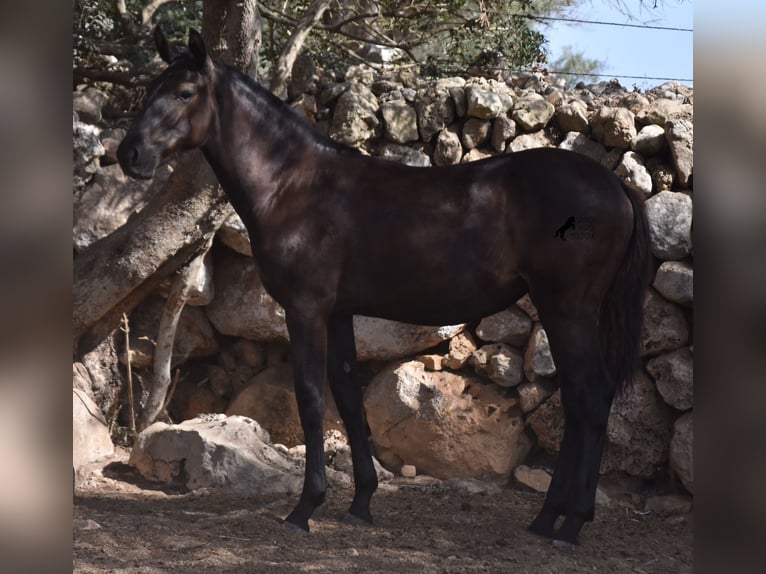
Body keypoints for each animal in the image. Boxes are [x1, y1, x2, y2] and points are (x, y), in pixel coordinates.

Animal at [117, 28, 652, 548]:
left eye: (184, 93)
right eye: (151, 88)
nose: (129, 154)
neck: (294, 184)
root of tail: (616, 187)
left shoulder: (306, 309)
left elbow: (311, 398)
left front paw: (305, 508)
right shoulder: (338, 312)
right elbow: (348, 397)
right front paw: (360, 503)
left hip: (567, 309)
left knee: (590, 395)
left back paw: (571, 523)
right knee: (581, 400)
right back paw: (548, 519)